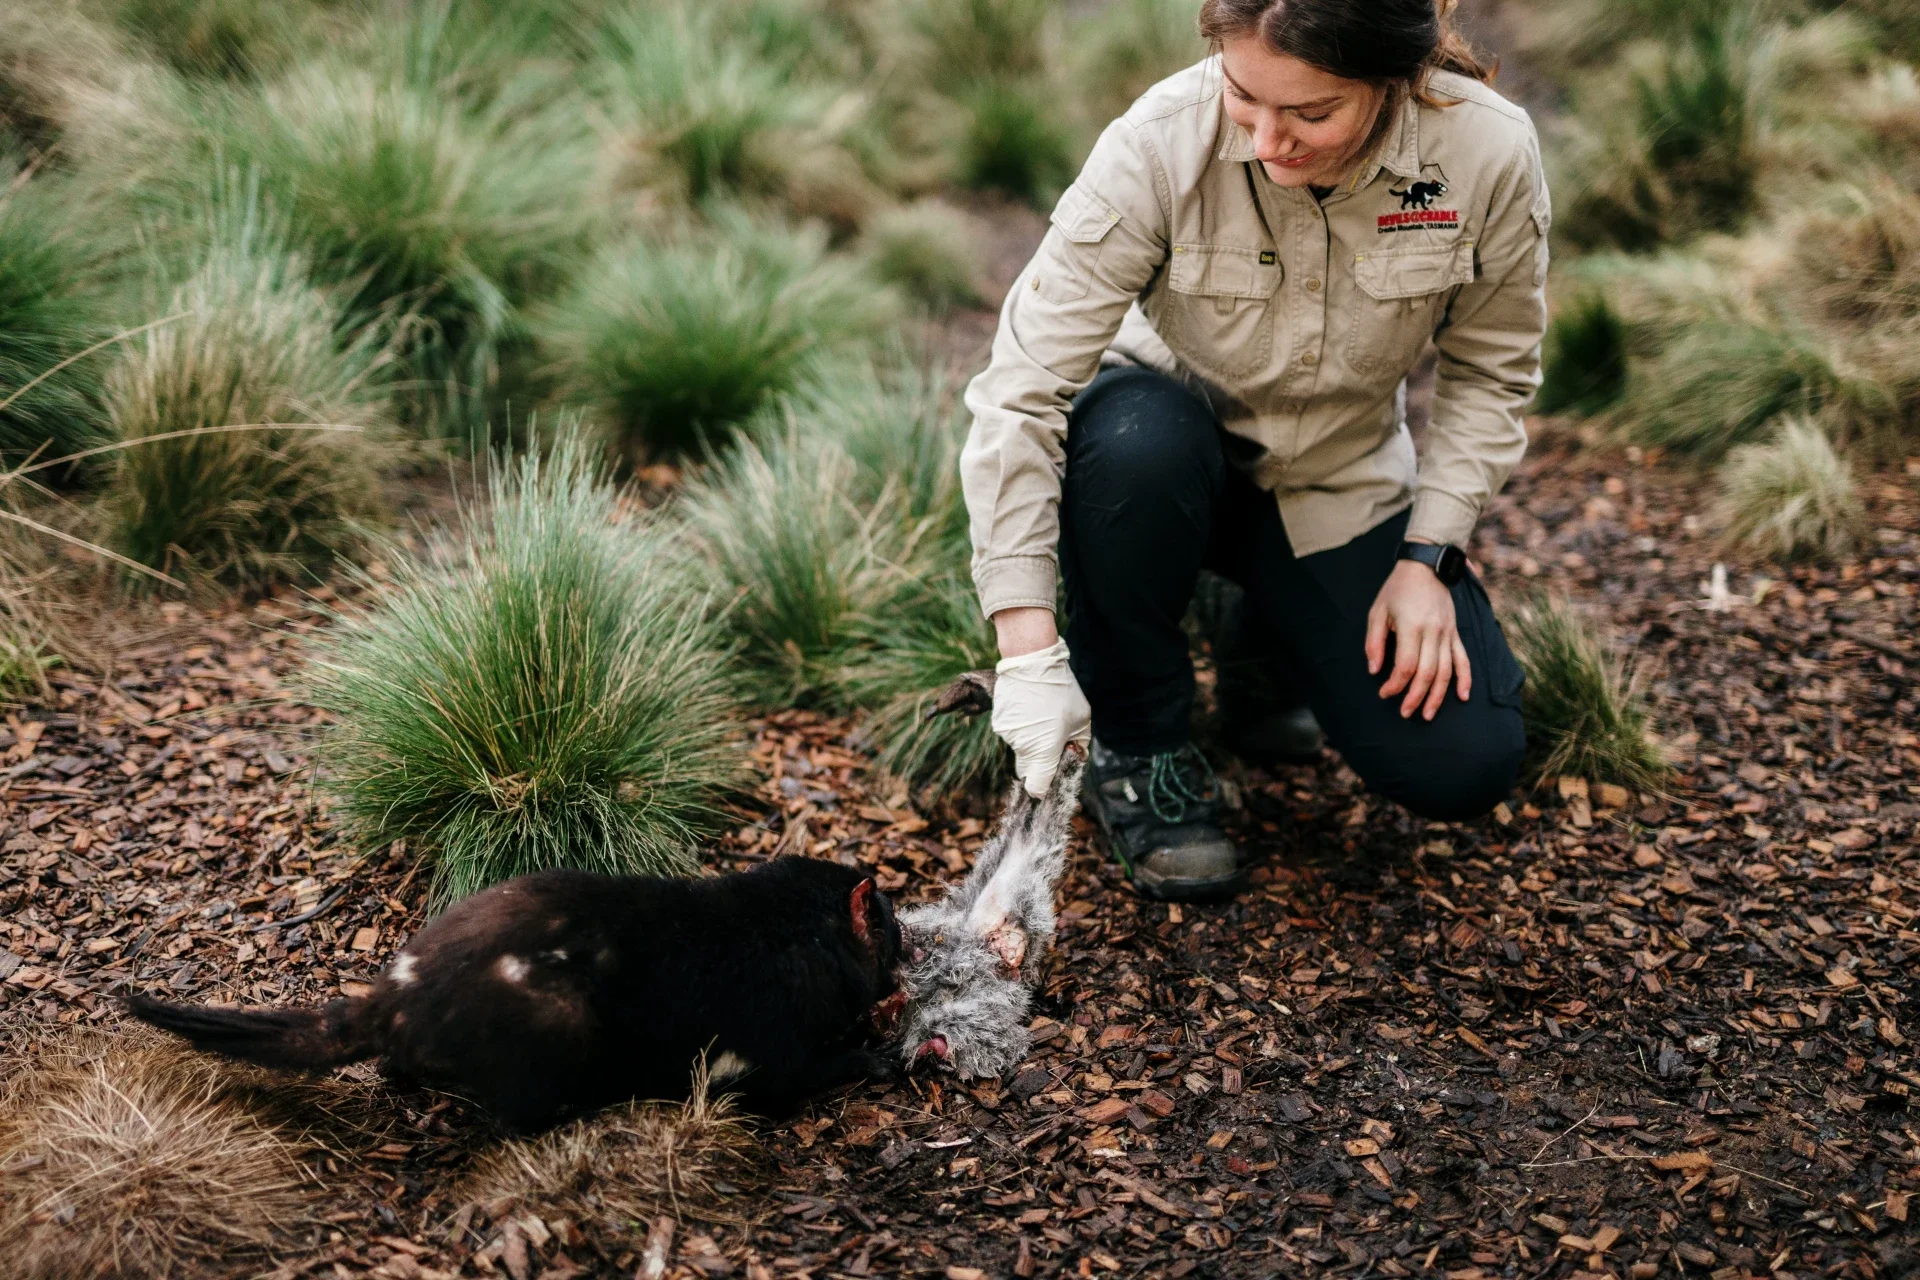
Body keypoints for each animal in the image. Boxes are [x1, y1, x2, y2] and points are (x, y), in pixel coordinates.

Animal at [127, 857, 905, 1134]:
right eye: (894, 927)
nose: (912, 945)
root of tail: (396, 993)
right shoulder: (773, 1038)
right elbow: (798, 1072)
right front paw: (873, 1056)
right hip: (555, 1023)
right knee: (509, 1118)